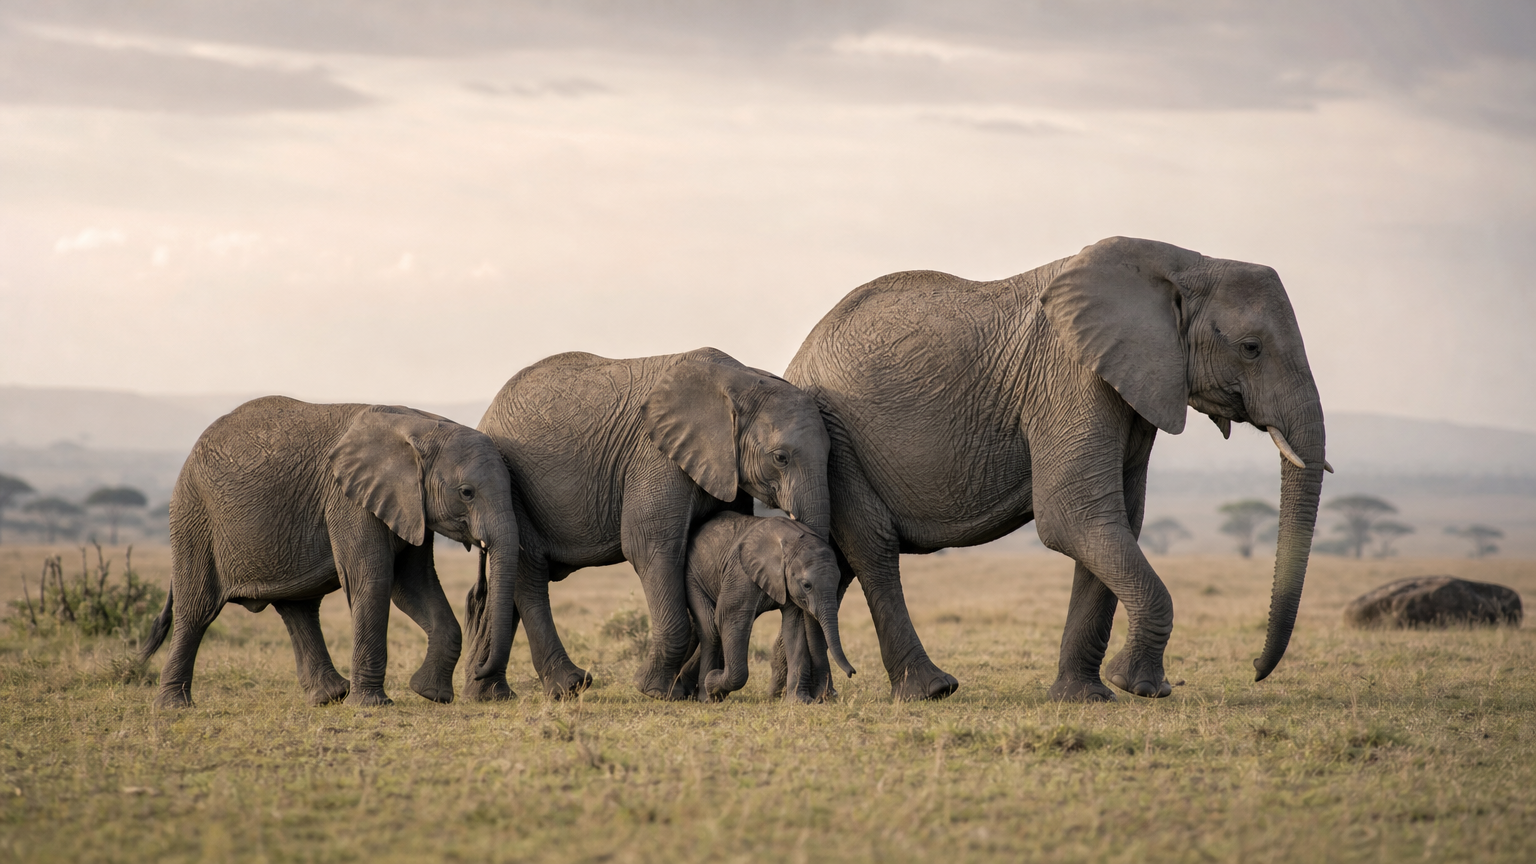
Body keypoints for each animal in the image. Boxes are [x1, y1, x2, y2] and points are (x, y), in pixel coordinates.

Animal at [139, 397, 520, 709]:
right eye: (467, 492)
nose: (481, 671)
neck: (422, 424)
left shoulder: (408, 505)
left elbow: (414, 585)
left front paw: (430, 694)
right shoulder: (349, 500)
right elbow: (374, 581)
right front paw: (373, 706)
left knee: (298, 609)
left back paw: (329, 696)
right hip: (194, 518)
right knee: (197, 610)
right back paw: (173, 707)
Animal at [460, 347, 832, 702]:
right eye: (780, 458)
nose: (820, 694)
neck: (741, 379)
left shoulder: (723, 467)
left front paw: (691, 689)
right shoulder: (656, 457)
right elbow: (649, 545)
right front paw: (655, 690)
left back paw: (488, 693)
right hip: (509, 483)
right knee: (529, 570)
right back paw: (570, 687)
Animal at [685, 511, 855, 703]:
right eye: (807, 585)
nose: (852, 672)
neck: (791, 542)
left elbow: (794, 629)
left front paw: (800, 701)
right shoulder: (740, 572)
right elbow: (730, 617)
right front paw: (713, 683)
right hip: (693, 576)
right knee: (710, 629)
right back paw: (707, 695)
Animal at [782, 236, 1329, 702]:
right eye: (1251, 347)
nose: (1255, 669)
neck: (1184, 262)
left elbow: (1117, 521)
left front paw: (1087, 697)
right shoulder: (1072, 377)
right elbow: (1075, 518)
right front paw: (1139, 688)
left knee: (835, 560)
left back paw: (806, 696)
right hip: (835, 436)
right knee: (873, 548)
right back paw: (930, 690)